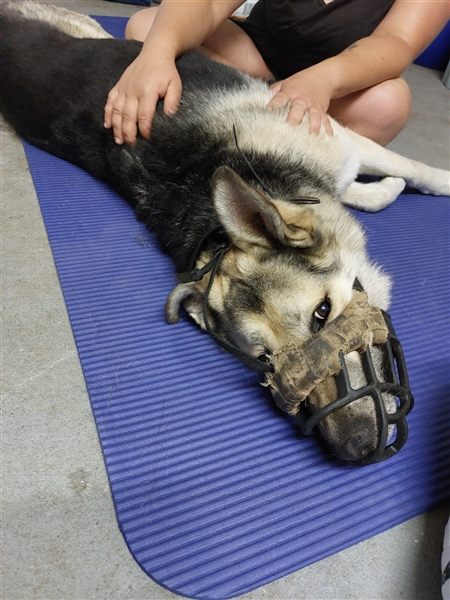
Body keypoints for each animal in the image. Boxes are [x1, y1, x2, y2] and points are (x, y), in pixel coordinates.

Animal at [1, 1, 448, 464]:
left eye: (323, 313)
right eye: (266, 360)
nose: (355, 448)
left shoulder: (340, 141)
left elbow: (414, 171)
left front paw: (425, 182)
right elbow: (376, 190)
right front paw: (385, 189)